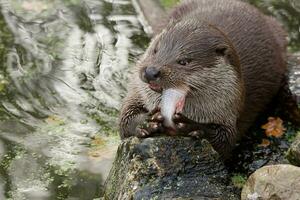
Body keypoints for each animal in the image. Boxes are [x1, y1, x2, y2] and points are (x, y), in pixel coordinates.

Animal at [118, 0, 296, 156]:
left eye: (184, 61)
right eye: (155, 50)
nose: (151, 71)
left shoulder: (230, 111)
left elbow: (225, 141)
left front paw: (193, 126)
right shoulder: (138, 92)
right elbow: (124, 119)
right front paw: (146, 122)